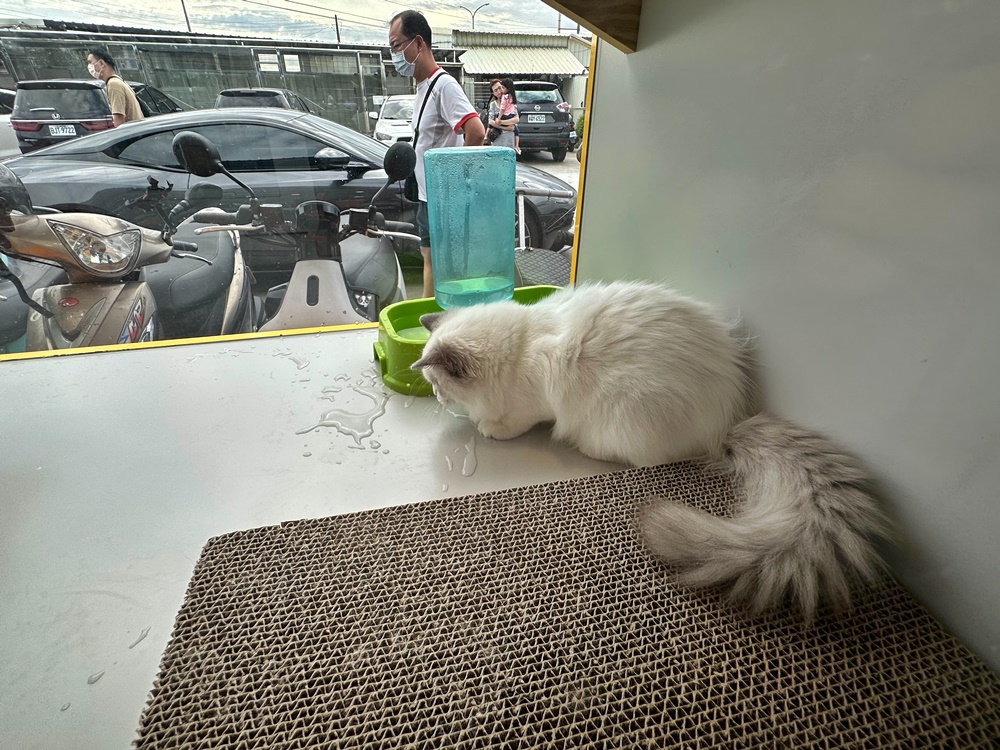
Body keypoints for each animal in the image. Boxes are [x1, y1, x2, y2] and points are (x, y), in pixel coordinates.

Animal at [412, 280, 892, 624]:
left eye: (436, 383)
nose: (434, 397)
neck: (523, 345)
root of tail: (728, 424)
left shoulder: (531, 409)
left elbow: (511, 424)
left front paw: (488, 427)